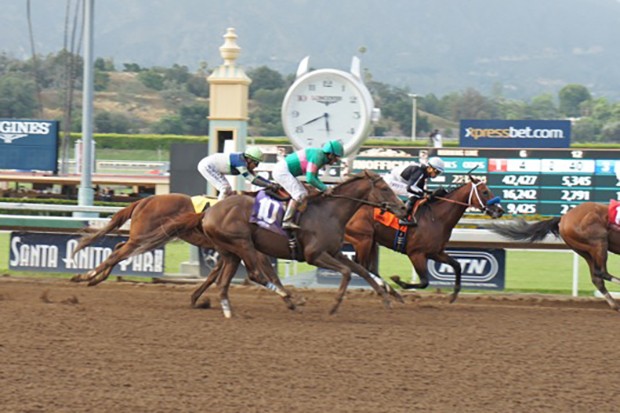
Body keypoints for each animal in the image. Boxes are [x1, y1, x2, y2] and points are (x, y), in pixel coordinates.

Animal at [134, 170, 406, 316]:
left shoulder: (334, 252)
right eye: (384, 188)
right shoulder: (314, 255)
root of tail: (208, 212)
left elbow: (362, 270)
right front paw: (334, 306)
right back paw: (289, 298)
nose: (403, 208)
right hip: (243, 243)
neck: (329, 212)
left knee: (225, 278)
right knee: (254, 273)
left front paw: (387, 298)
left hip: (231, 251)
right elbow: (348, 273)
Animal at [346, 175, 506, 300]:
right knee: (361, 266)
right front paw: (398, 281)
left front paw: (454, 295)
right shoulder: (416, 253)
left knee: (367, 267)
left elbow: (457, 265)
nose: (500, 210)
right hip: (363, 240)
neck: (436, 218)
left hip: (371, 241)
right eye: (485, 192)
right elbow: (424, 281)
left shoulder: (435, 252)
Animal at [490, 201, 620, 310]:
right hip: (598, 242)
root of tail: (564, 218)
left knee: (597, 277)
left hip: (585, 250)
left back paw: (614, 305)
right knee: (601, 272)